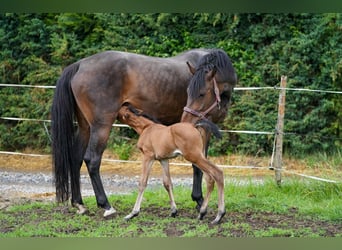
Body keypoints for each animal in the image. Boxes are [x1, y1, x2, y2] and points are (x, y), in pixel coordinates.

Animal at [51, 48, 238, 217]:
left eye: (200, 93)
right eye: (191, 92)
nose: (185, 120)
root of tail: (79, 65)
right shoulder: (204, 128)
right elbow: (198, 165)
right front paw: (199, 201)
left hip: (85, 127)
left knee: (75, 158)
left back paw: (79, 204)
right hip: (101, 126)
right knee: (92, 159)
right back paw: (106, 205)